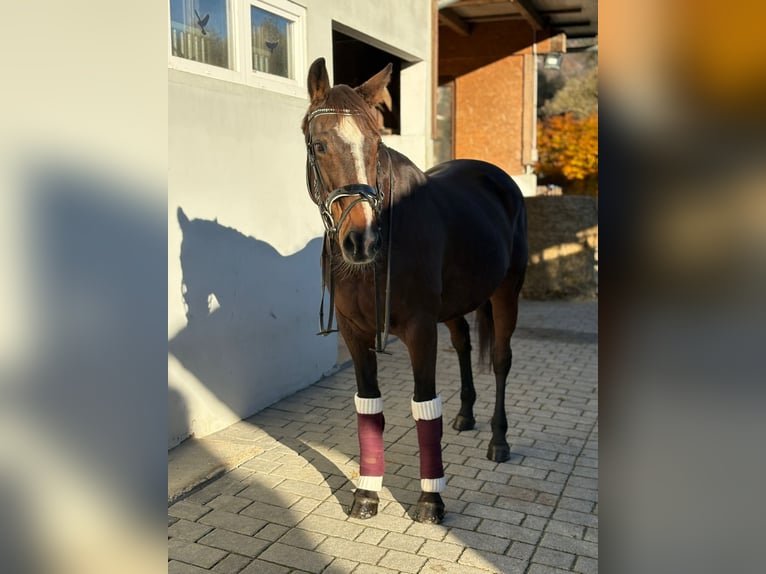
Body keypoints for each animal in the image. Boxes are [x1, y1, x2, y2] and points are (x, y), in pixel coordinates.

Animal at [302, 57, 528, 524]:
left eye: (374, 144)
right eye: (319, 145)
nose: (362, 241)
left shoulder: (421, 330)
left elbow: (425, 407)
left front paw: (430, 499)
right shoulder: (354, 332)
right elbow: (368, 405)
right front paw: (366, 494)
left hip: (506, 293)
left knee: (500, 360)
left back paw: (498, 440)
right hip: (457, 306)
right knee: (463, 347)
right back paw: (466, 415)